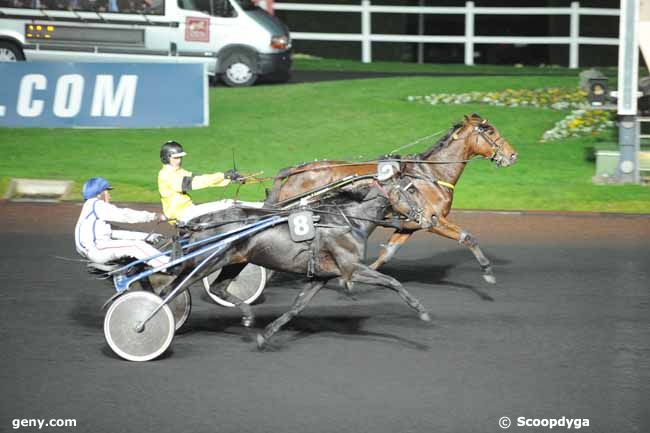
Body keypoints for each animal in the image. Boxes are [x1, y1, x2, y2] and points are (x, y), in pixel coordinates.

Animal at [175, 176, 432, 348]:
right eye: (411, 192)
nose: (428, 217)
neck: (346, 220)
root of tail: (198, 222)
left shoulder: (320, 276)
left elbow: (296, 307)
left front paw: (265, 335)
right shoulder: (352, 268)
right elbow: (392, 281)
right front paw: (421, 311)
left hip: (234, 261)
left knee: (217, 287)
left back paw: (247, 316)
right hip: (205, 262)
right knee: (175, 287)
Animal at [264, 114, 516, 284]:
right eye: (489, 131)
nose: (513, 155)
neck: (430, 174)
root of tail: (298, 170)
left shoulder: (409, 225)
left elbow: (388, 253)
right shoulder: (432, 220)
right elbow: (467, 237)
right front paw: (487, 270)